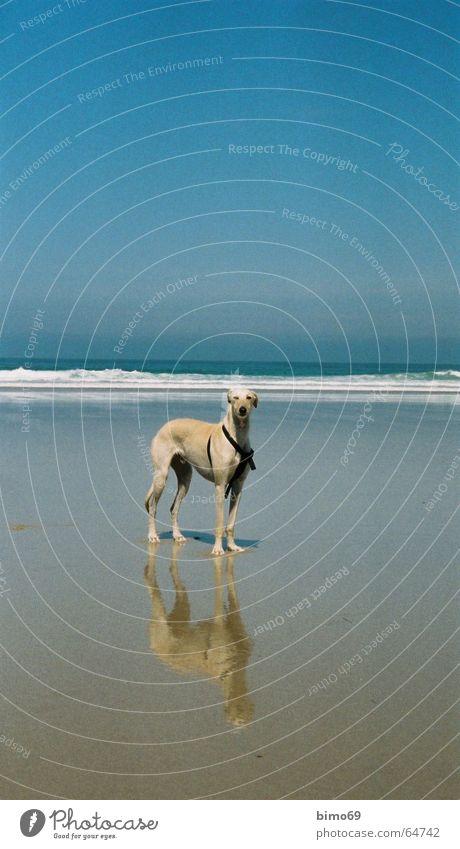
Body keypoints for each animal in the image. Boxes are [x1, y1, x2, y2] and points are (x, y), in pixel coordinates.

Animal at [145, 386, 258, 556]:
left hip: (185, 480)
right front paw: (218, 549)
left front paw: (232, 546)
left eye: (249, 397)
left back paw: (177, 535)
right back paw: (152, 535)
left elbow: (231, 524)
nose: (242, 410)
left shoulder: (238, 487)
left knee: (174, 508)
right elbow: (219, 523)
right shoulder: (220, 486)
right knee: (153, 506)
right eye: (235, 398)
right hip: (161, 476)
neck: (237, 437)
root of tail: (164, 427)